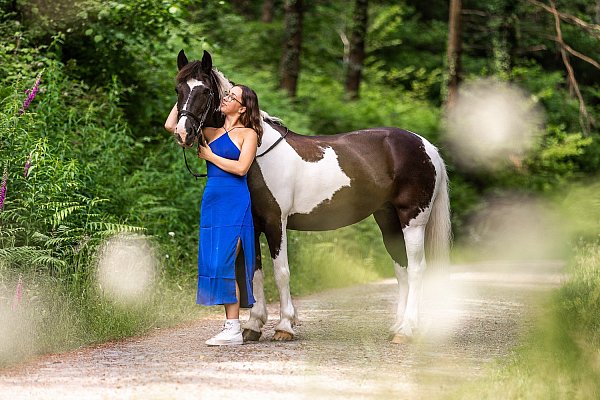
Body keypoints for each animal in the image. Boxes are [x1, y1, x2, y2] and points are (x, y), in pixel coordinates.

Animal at [171, 50, 452, 344]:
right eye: (178, 89)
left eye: (205, 91)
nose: (182, 133)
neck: (257, 151)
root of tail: (426, 146)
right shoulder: (253, 226)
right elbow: (256, 273)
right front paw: (253, 326)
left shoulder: (276, 222)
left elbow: (281, 273)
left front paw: (284, 326)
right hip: (388, 220)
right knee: (402, 268)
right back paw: (397, 328)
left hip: (413, 220)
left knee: (417, 269)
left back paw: (407, 330)